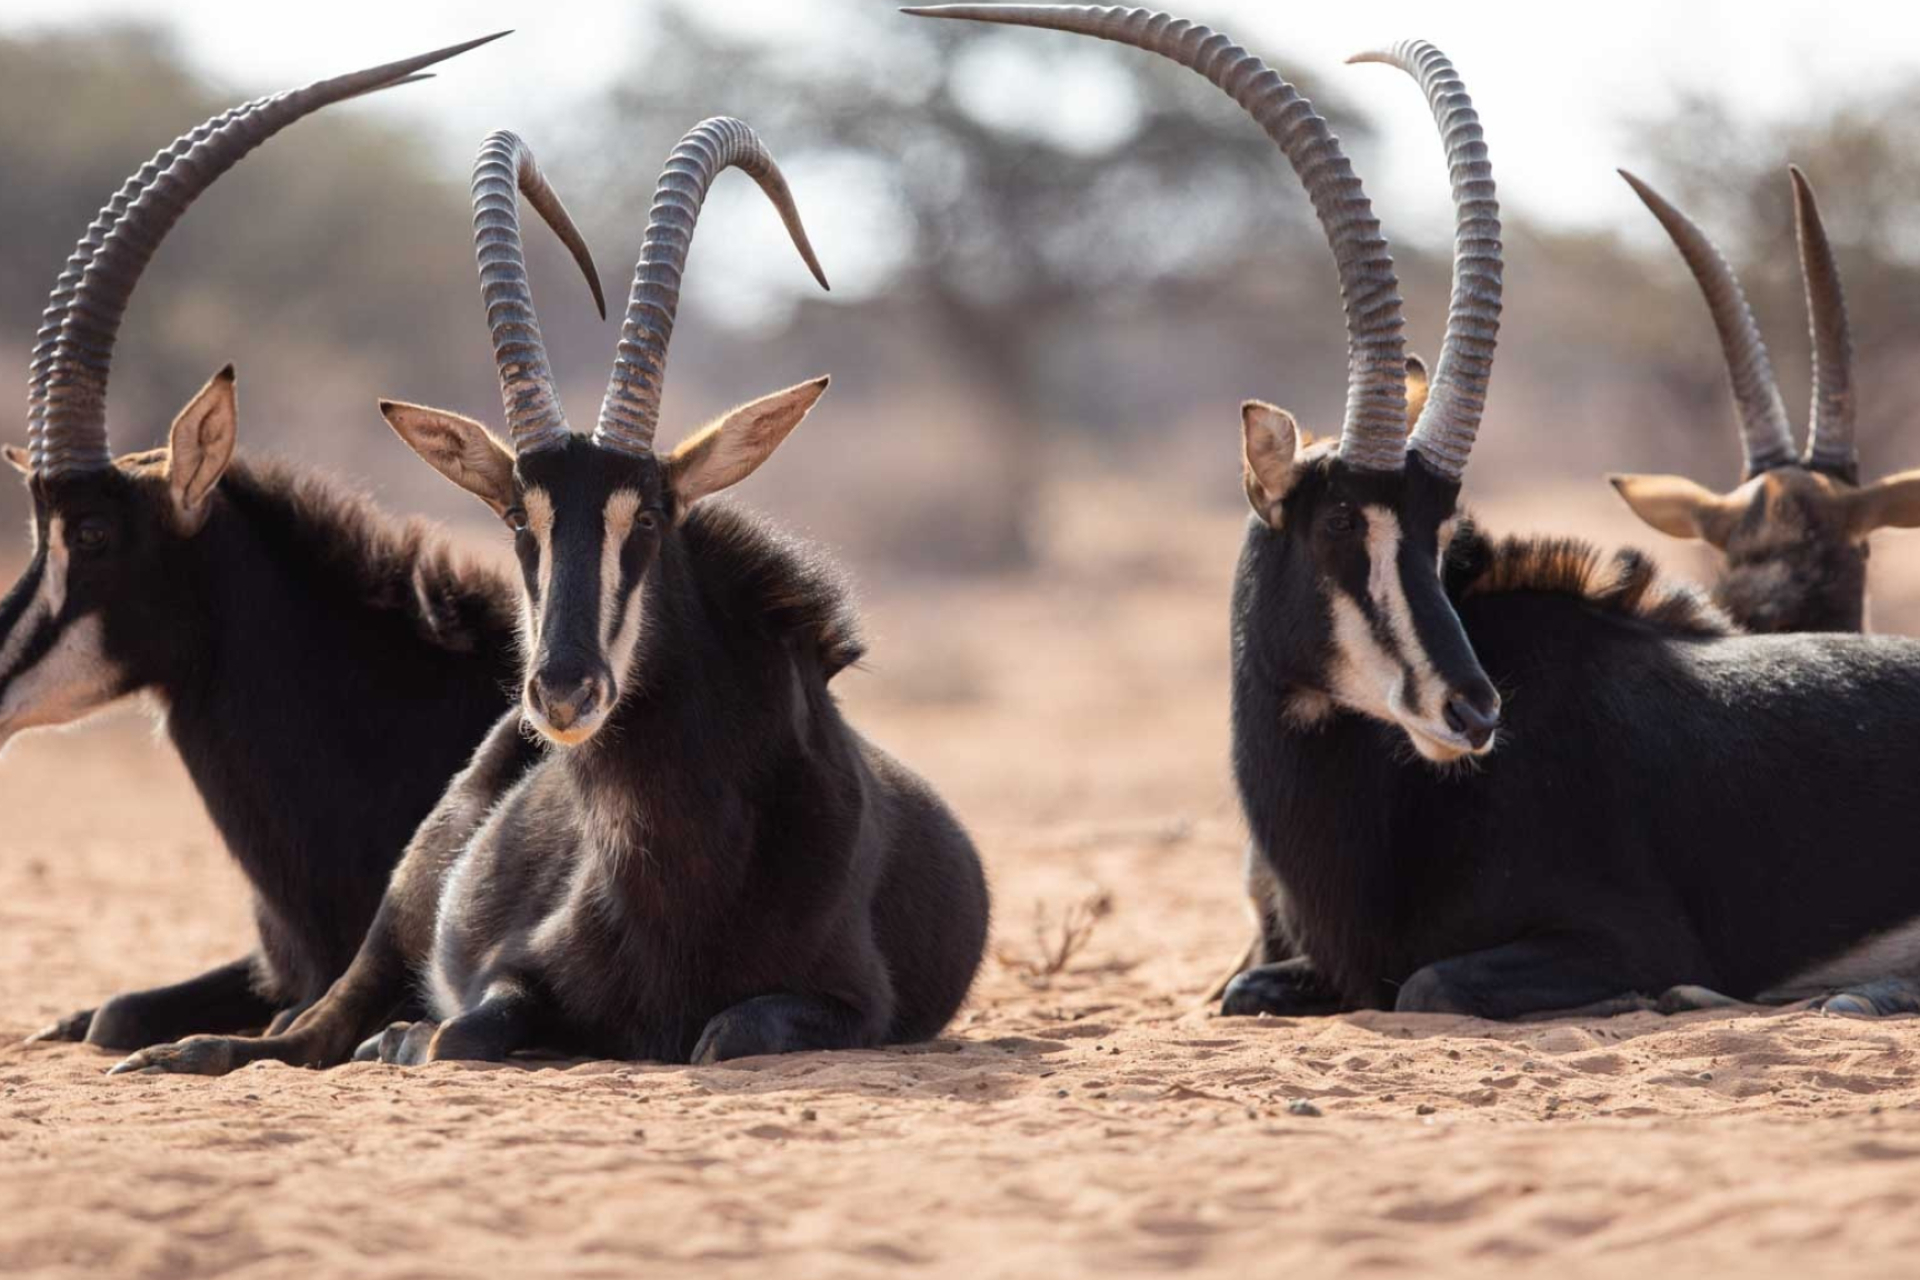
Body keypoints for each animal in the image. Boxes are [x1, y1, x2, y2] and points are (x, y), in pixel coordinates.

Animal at [108, 122, 990, 1082]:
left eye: (650, 515)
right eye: (514, 519)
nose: (563, 691)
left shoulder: (856, 1004)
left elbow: (730, 1031)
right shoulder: (512, 969)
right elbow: (462, 1029)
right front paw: (408, 1035)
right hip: (405, 900)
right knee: (311, 1028)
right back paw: (194, 1049)